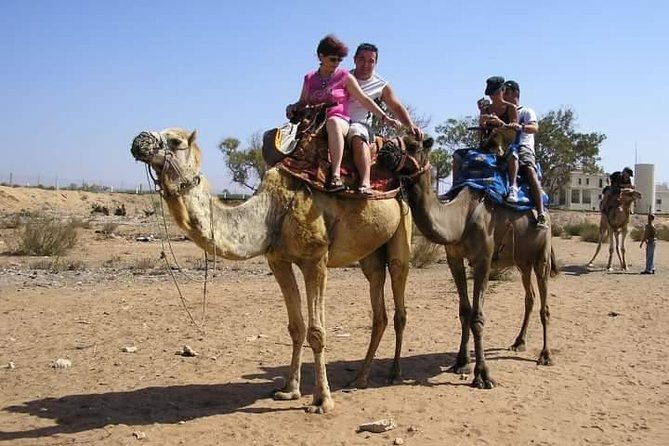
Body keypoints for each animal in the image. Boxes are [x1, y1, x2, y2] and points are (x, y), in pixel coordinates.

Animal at [130, 128, 412, 413]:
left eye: (175, 141)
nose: (139, 140)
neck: (270, 212)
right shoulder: (278, 261)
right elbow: (296, 327)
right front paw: (289, 390)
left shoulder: (316, 259)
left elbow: (317, 332)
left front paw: (322, 400)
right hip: (370, 254)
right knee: (378, 307)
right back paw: (360, 378)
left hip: (402, 228)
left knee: (399, 296)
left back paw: (394, 373)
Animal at [377, 129, 558, 389]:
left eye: (412, 145)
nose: (382, 151)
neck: (459, 218)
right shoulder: (454, 258)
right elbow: (464, 311)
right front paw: (461, 362)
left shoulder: (483, 259)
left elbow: (477, 317)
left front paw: (482, 375)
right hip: (523, 261)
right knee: (530, 297)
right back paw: (518, 342)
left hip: (541, 256)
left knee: (544, 304)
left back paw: (545, 355)